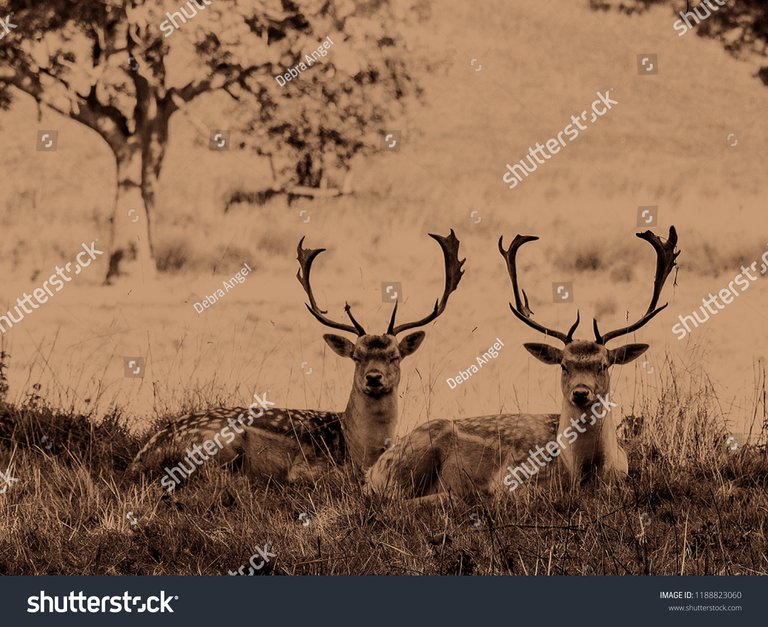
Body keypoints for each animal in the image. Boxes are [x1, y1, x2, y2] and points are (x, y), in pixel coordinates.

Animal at [130, 228, 464, 488]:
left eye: (395, 356)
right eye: (356, 356)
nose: (373, 377)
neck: (359, 448)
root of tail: (142, 456)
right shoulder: (309, 468)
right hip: (218, 441)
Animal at [366, 226, 680, 500]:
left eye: (604, 365)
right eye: (564, 365)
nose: (581, 392)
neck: (581, 474)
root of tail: (372, 470)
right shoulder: (513, 477)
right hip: (410, 463)